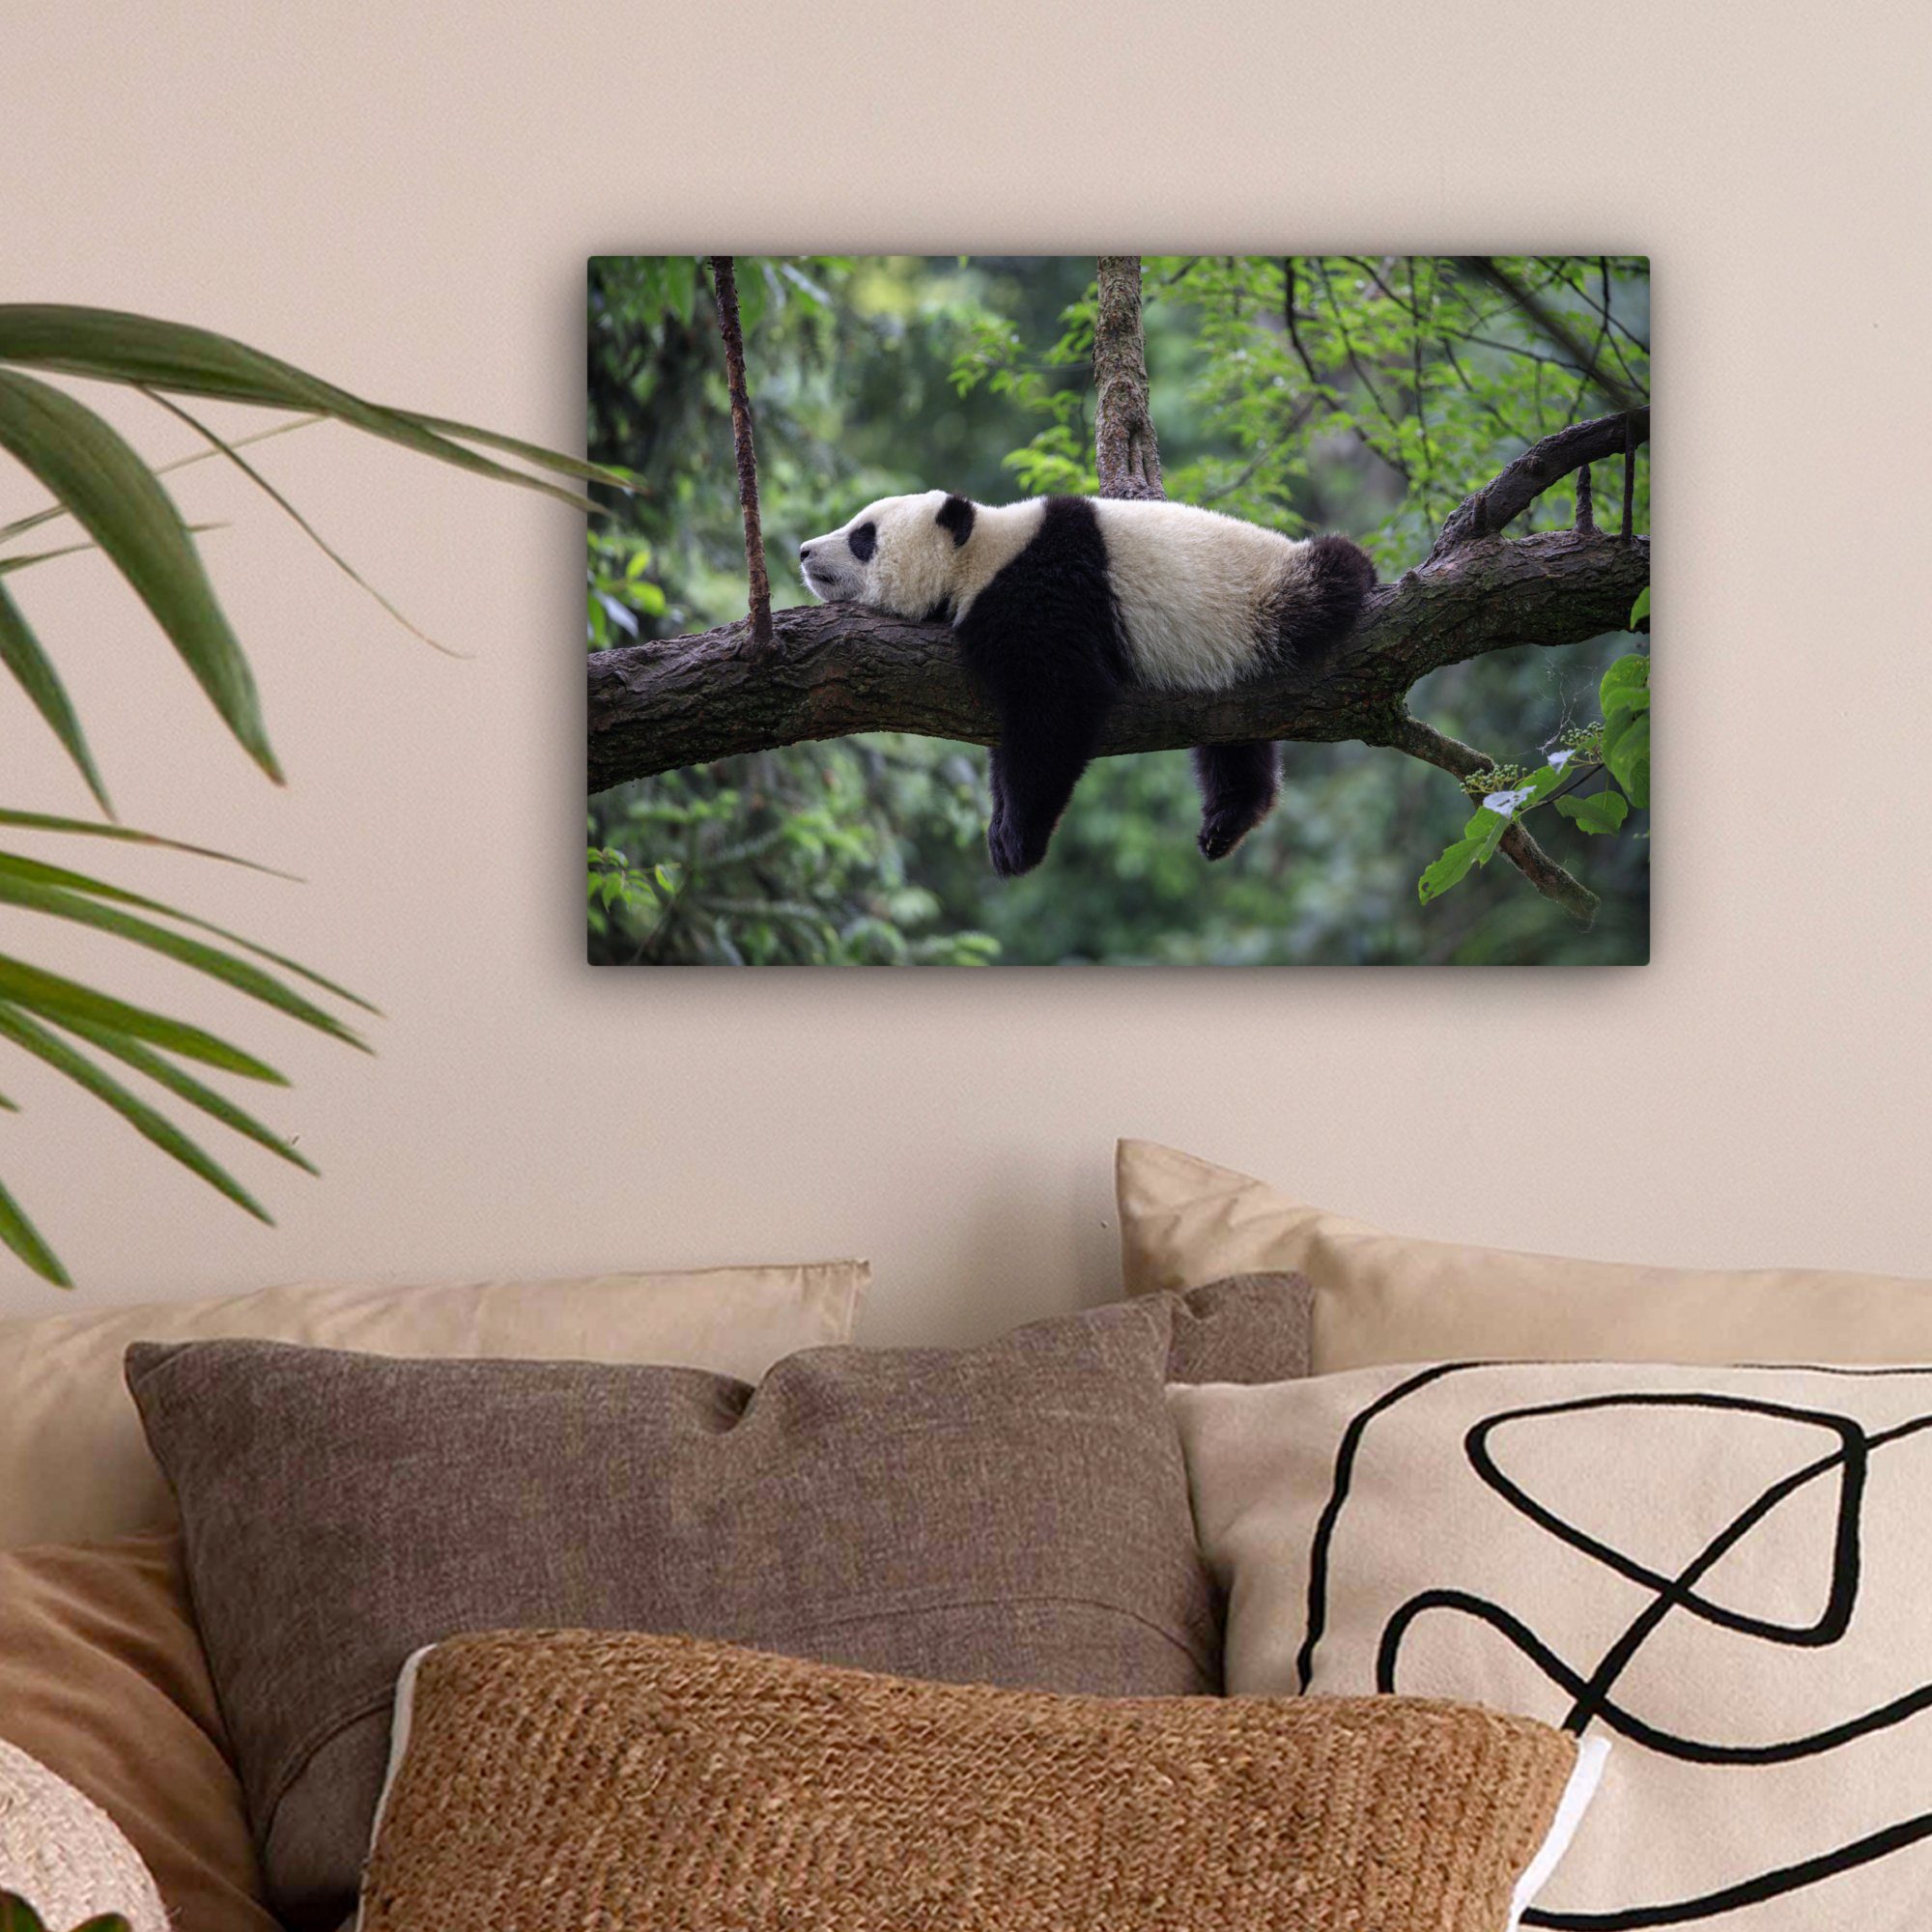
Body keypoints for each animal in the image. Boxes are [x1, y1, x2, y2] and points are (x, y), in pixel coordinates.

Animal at [798, 490, 1375, 877]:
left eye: (863, 537)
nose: (804, 551)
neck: (982, 553)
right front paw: (1000, 826)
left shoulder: (1045, 594)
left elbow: (1058, 708)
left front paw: (1017, 841)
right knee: (1234, 739)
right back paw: (1228, 819)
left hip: (1264, 599)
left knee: (1329, 577)